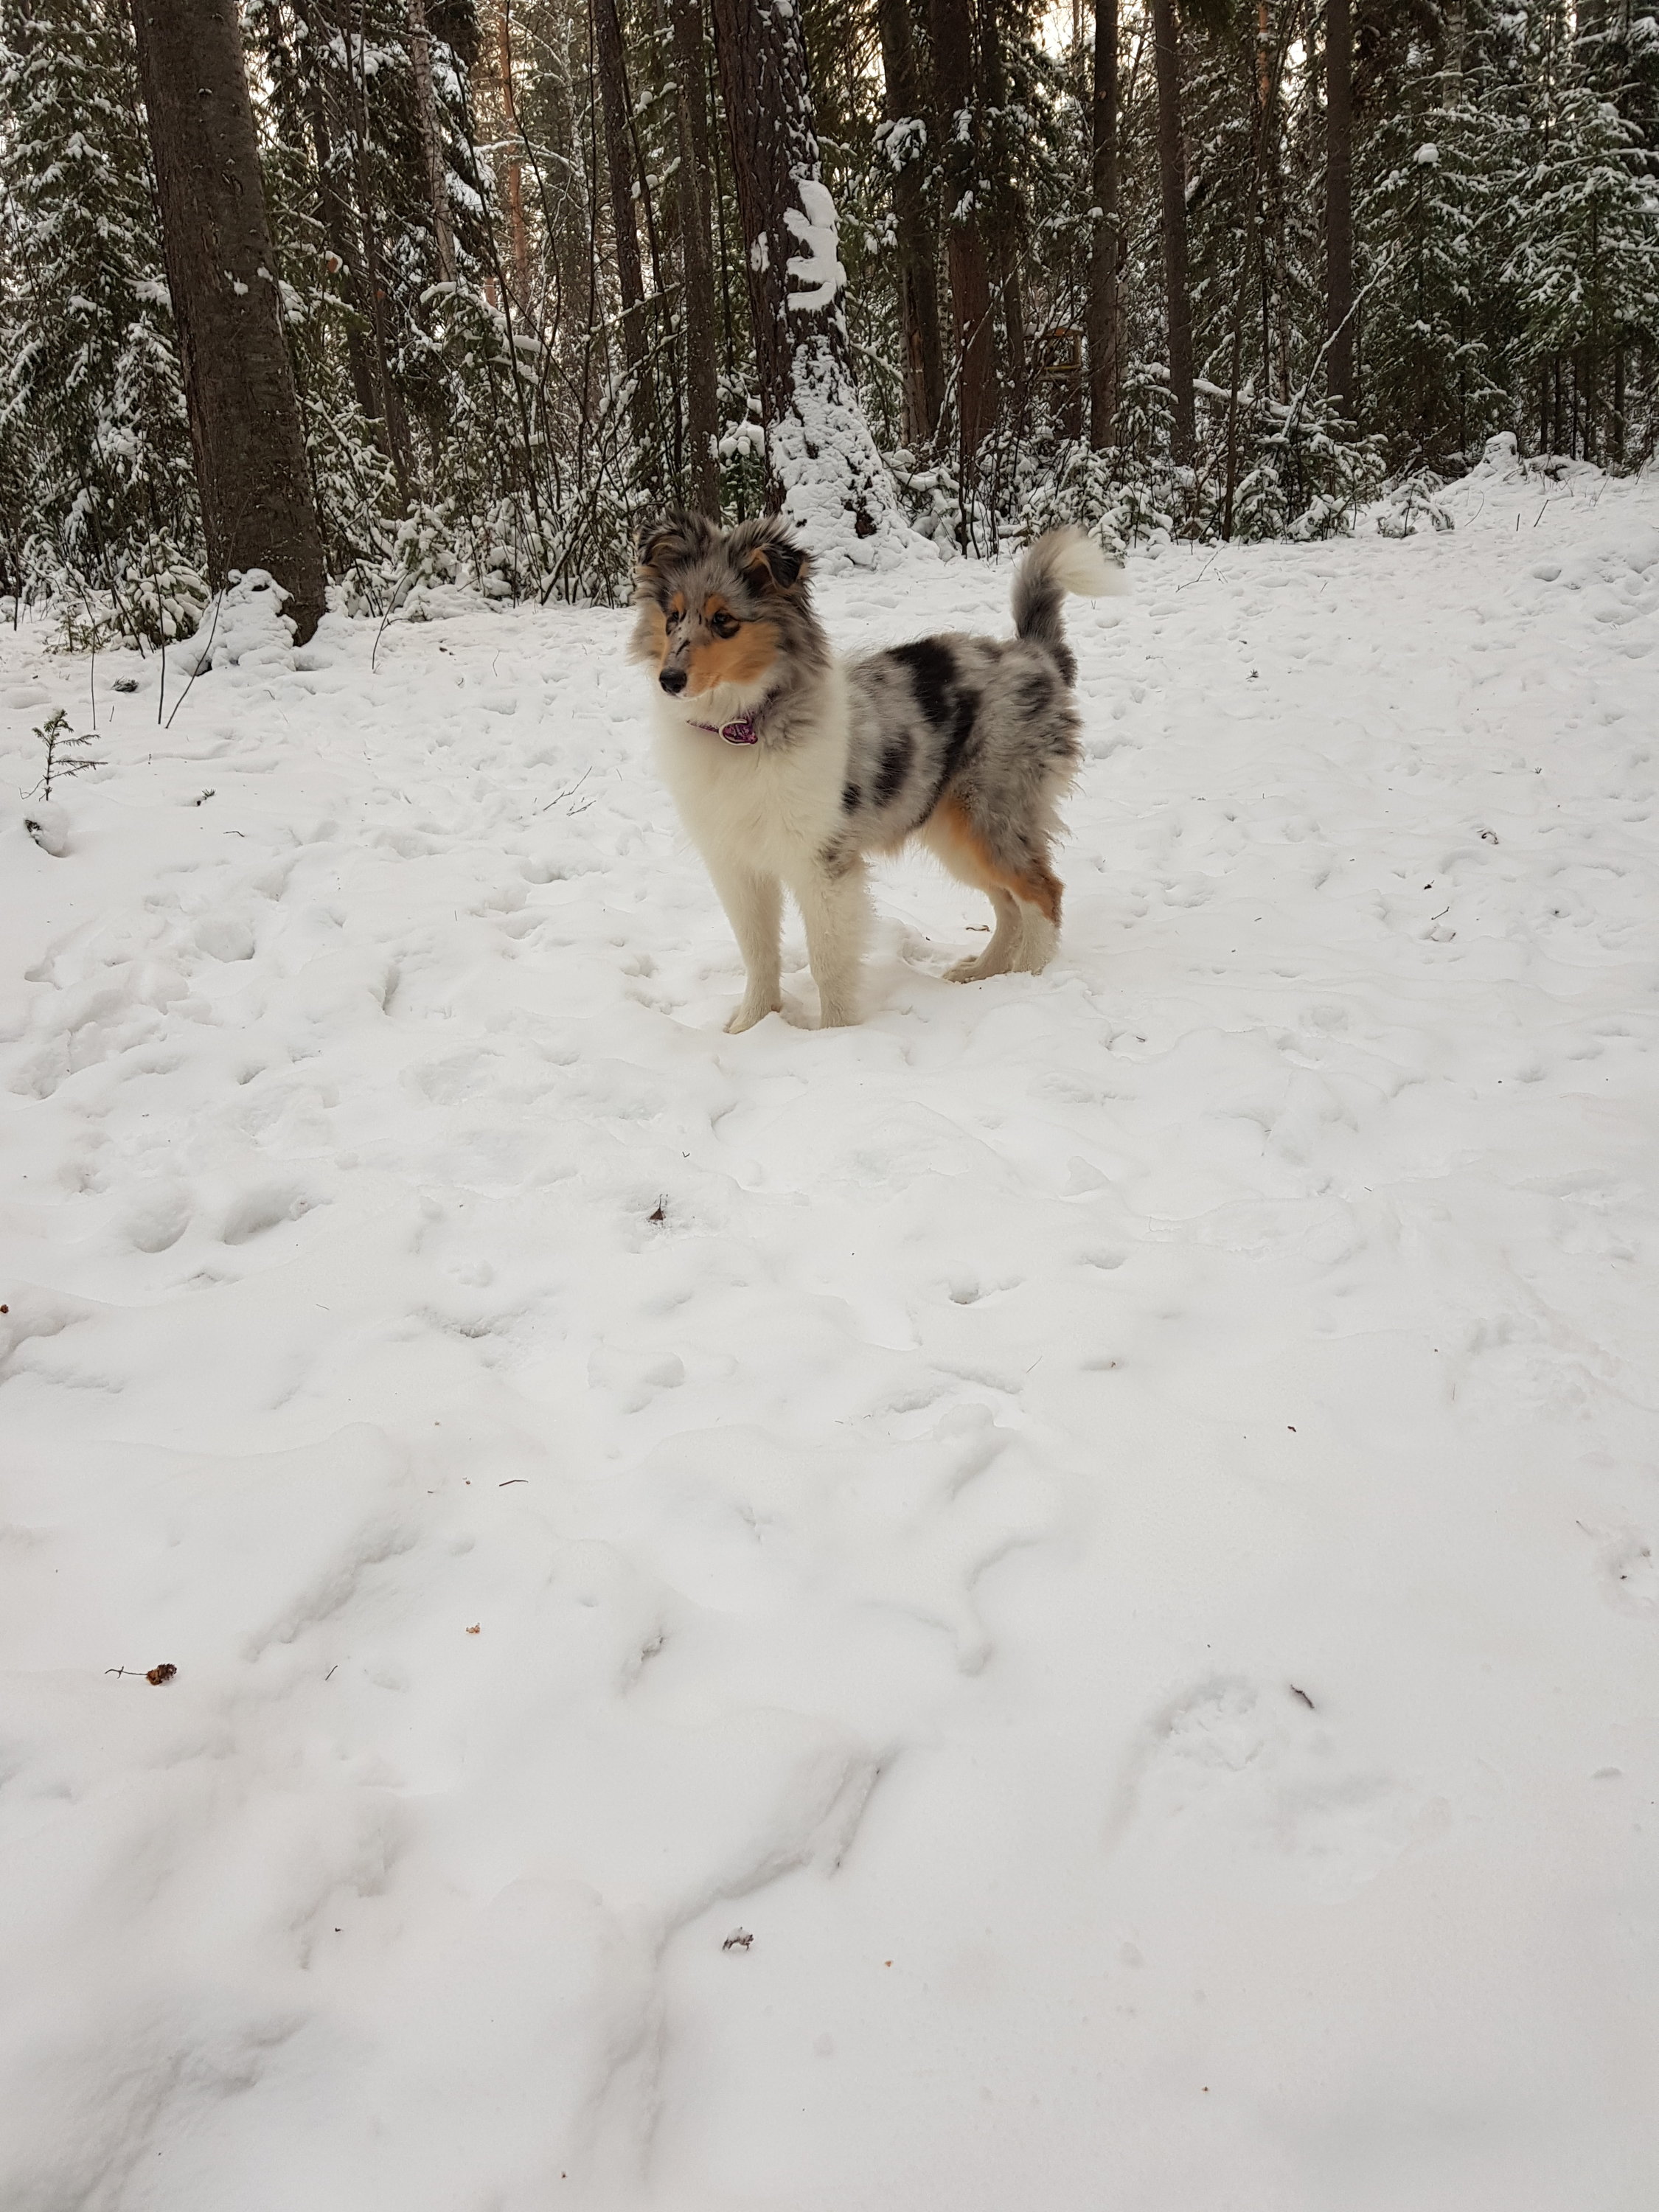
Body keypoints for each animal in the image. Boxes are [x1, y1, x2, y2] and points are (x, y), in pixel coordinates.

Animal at [630, 513, 1121, 1030]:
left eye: (724, 621)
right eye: (672, 618)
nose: (669, 681)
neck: (742, 727)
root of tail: (1036, 655)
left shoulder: (822, 863)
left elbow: (828, 959)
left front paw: (835, 1033)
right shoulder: (736, 865)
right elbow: (758, 953)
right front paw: (751, 1027)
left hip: (993, 815)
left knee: (1043, 892)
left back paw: (1029, 979)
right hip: (954, 832)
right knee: (1008, 904)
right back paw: (983, 974)